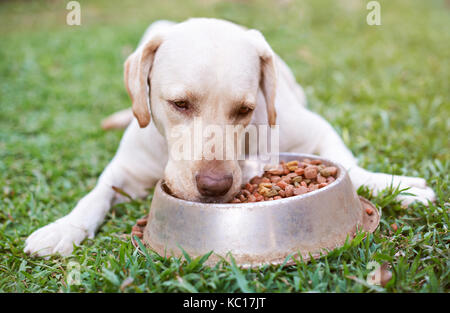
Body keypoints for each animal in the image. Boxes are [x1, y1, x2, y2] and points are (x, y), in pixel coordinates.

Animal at [25, 18, 436, 256]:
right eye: (179, 104)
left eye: (244, 109)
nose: (214, 186)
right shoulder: (124, 169)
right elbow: (95, 194)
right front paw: (64, 227)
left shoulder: (313, 127)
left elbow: (352, 166)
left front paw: (395, 185)